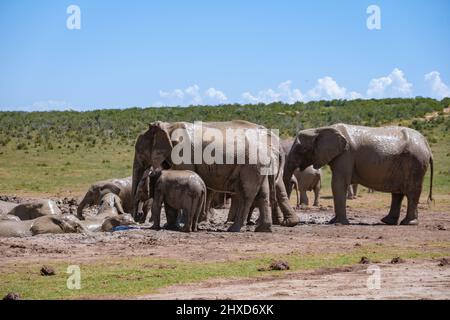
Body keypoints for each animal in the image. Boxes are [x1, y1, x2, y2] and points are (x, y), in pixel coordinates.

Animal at [131, 120, 298, 232]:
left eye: (139, 152)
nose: (137, 218)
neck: (168, 126)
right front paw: (172, 226)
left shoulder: (183, 153)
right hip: (259, 167)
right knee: (262, 193)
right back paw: (263, 229)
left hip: (251, 165)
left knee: (247, 194)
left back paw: (234, 229)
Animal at [284, 122, 434, 225]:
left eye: (300, 149)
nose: (296, 208)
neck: (319, 129)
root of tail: (426, 144)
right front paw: (334, 221)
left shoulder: (346, 154)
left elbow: (338, 183)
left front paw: (338, 223)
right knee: (398, 193)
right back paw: (387, 221)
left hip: (416, 162)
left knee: (412, 191)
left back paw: (408, 223)